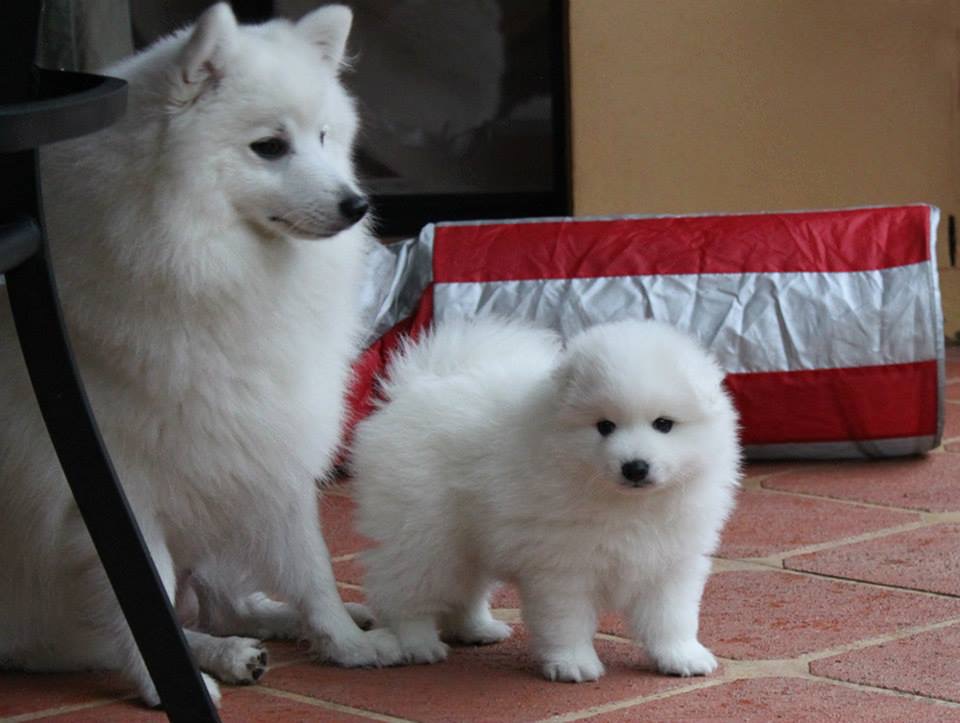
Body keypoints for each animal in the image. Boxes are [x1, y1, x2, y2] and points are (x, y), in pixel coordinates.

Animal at [0, 4, 400, 708]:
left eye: (325, 137)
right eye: (270, 146)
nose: (356, 205)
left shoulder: (264, 446)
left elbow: (313, 567)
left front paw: (344, 644)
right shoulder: (115, 490)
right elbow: (144, 593)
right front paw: (163, 685)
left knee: (221, 602)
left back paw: (276, 629)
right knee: (136, 625)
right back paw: (219, 656)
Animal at [352, 318, 744, 684]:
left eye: (664, 424)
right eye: (604, 426)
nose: (635, 467)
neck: (628, 505)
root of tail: (418, 385)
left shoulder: (670, 562)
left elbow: (672, 617)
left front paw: (683, 656)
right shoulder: (561, 565)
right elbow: (566, 620)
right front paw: (573, 663)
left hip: (468, 541)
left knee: (466, 589)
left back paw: (478, 629)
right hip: (422, 534)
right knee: (404, 592)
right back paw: (418, 643)